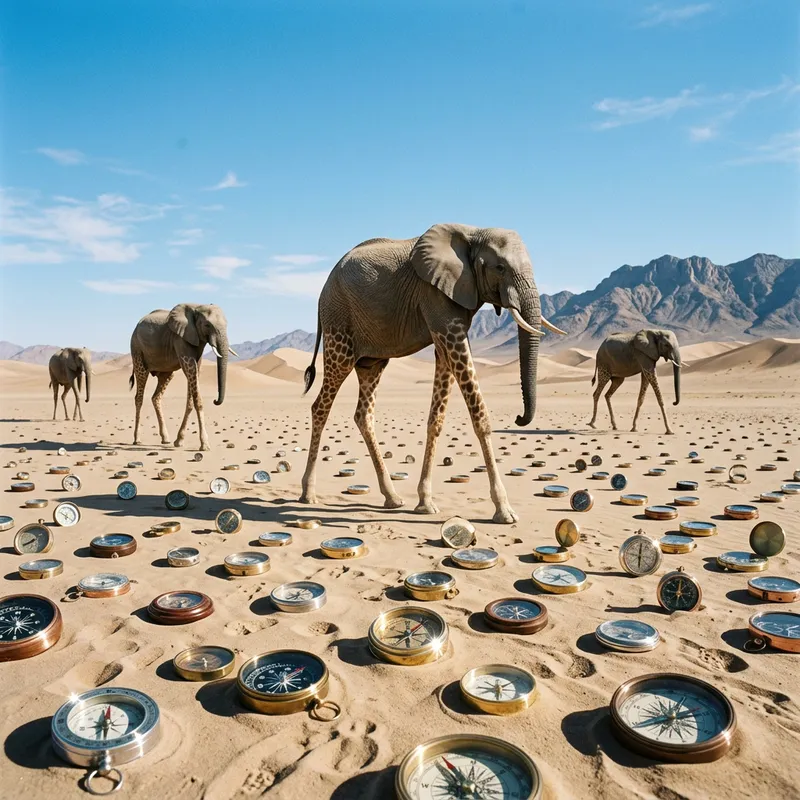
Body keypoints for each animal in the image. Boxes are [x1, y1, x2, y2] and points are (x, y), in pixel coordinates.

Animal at [129, 303, 237, 450]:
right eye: (207, 325)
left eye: (227, 324)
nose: (215, 400)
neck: (196, 307)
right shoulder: (180, 340)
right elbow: (191, 372)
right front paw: (205, 445)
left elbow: (193, 382)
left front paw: (179, 441)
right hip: (136, 349)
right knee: (139, 393)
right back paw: (137, 440)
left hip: (165, 370)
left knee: (157, 394)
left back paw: (165, 439)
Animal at [300, 223, 567, 524]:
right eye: (500, 267)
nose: (520, 418)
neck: (473, 232)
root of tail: (322, 291)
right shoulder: (436, 297)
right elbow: (479, 412)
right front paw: (505, 512)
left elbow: (437, 413)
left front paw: (425, 503)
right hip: (338, 324)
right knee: (322, 403)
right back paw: (308, 494)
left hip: (371, 355)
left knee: (364, 410)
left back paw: (392, 498)